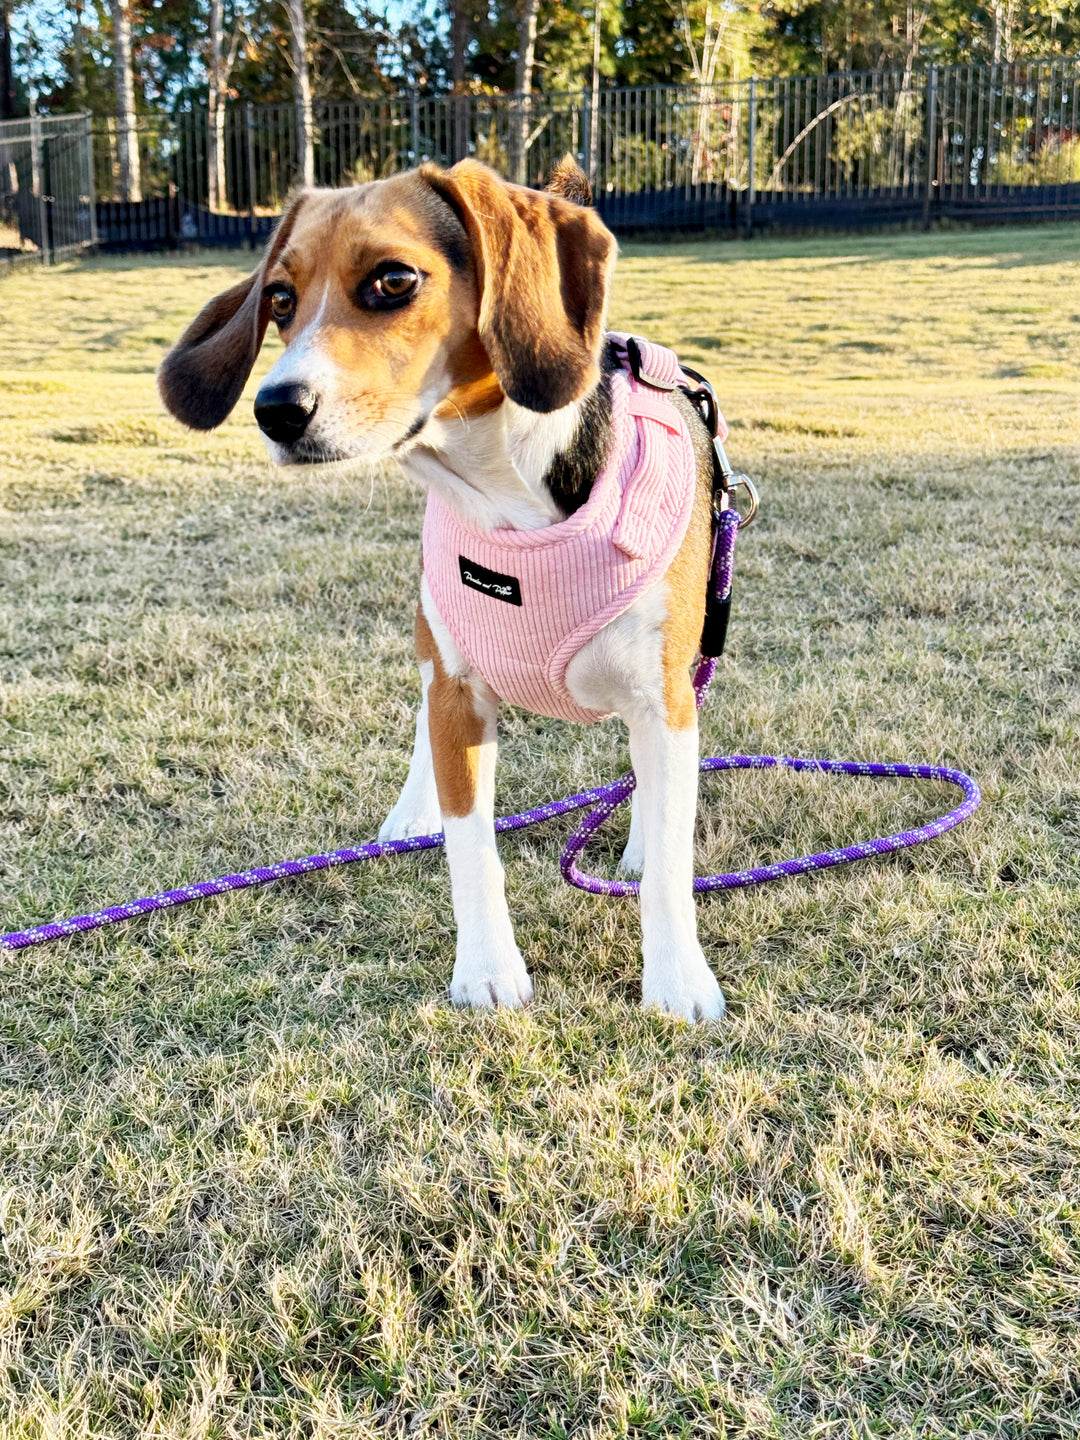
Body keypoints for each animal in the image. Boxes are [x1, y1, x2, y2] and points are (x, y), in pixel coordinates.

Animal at [160, 160, 731, 1025]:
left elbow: (670, 856)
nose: (275, 409)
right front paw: (489, 971)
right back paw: (410, 814)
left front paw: (677, 981)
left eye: (393, 281)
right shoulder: (458, 698)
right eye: (281, 300)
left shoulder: (663, 695)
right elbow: (472, 847)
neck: (506, 500)